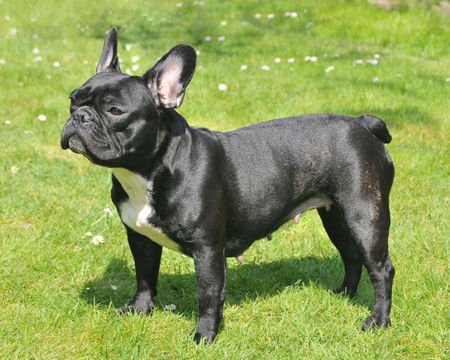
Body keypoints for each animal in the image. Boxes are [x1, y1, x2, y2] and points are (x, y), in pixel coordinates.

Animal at [60, 27, 394, 344]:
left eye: (115, 111)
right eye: (73, 100)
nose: (80, 116)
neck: (147, 169)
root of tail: (362, 123)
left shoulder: (207, 248)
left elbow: (208, 294)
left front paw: (204, 336)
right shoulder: (140, 237)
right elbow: (145, 276)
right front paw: (139, 310)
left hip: (365, 215)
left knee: (381, 268)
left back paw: (378, 321)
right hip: (336, 215)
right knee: (351, 255)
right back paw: (344, 293)